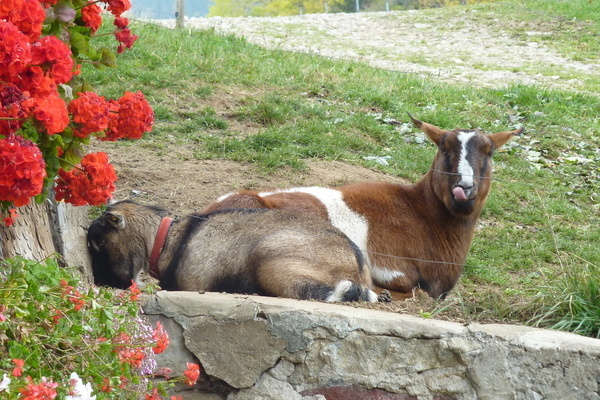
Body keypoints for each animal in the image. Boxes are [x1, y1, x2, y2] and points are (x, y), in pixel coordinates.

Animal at [204, 117, 524, 298]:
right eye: (444, 149)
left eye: (489, 152)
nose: (464, 187)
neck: (421, 212)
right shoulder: (394, 268)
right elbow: (410, 288)